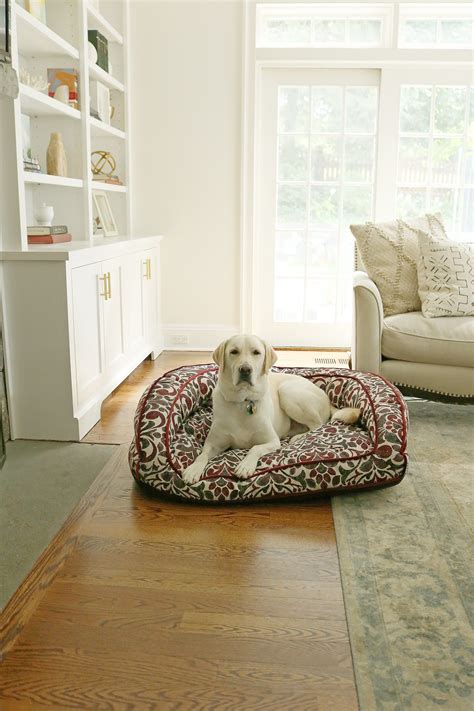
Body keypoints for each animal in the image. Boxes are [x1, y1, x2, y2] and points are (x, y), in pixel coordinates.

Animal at [181, 336, 360, 486]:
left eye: (256, 352)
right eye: (233, 352)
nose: (245, 369)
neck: (243, 402)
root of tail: (326, 397)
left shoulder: (272, 441)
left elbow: (254, 448)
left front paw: (245, 465)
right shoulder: (213, 443)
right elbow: (202, 455)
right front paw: (193, 470)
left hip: (288, 391)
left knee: (318, 424)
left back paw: (298, 437)